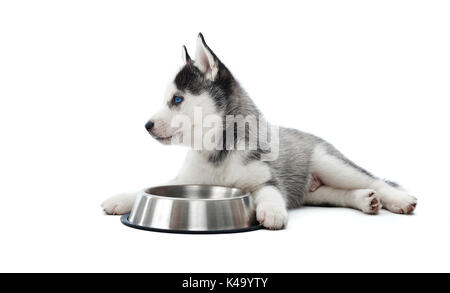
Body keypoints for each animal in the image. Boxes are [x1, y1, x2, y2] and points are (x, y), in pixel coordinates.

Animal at [100, 32, 416, 228]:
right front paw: (121, 198)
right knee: (339, 193)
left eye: (177, 100)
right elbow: (146, 187)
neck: (218, 153)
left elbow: (270, 192)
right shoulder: (185, 179)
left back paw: (397, 199)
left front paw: (272, 211)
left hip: (330, 162)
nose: (147, 126)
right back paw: (365, 200)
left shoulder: (267, 179)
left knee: (374, 179)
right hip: (315, 192)